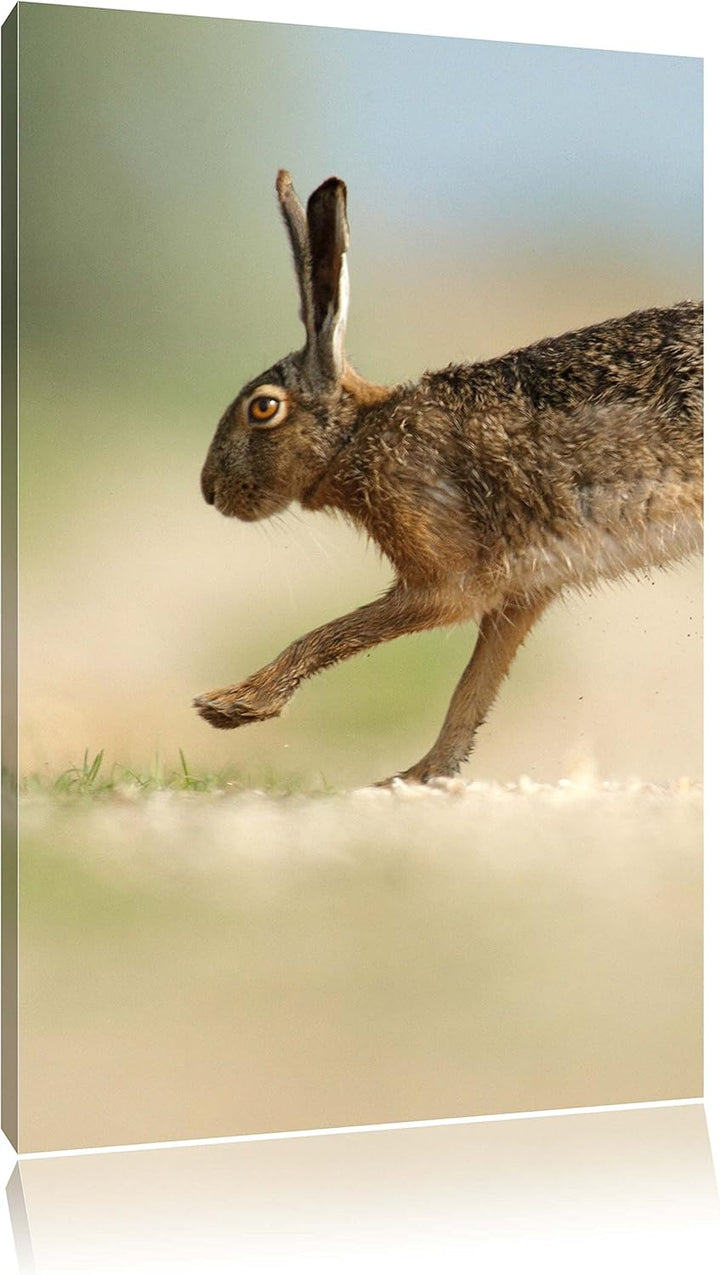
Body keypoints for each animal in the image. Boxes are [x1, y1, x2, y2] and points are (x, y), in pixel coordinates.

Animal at [195, 169, 703, 786]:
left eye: (263, 408)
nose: (210, 492)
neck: (355, 438)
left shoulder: (445, 579)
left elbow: (336, 632)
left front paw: (231, 706)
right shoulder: (523, 590)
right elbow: (471, 690)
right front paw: (418, 776)